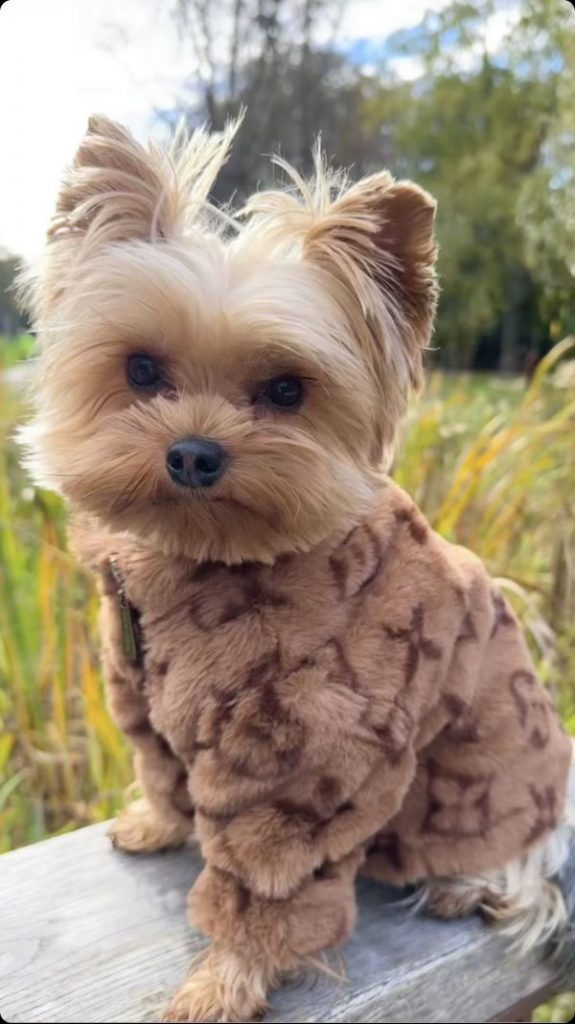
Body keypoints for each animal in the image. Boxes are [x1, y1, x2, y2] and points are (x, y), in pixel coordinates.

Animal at [20, 119, 568, 1024]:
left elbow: (268, 879)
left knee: (522, 862)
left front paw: (223, 981)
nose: (194, 452)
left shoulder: (302, 760)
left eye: (285, 390)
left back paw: (463, 886)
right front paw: (154, 824)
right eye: (141, 371)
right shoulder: (140, 698)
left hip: (491, 778)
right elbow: (161, 772)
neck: (205, 559)